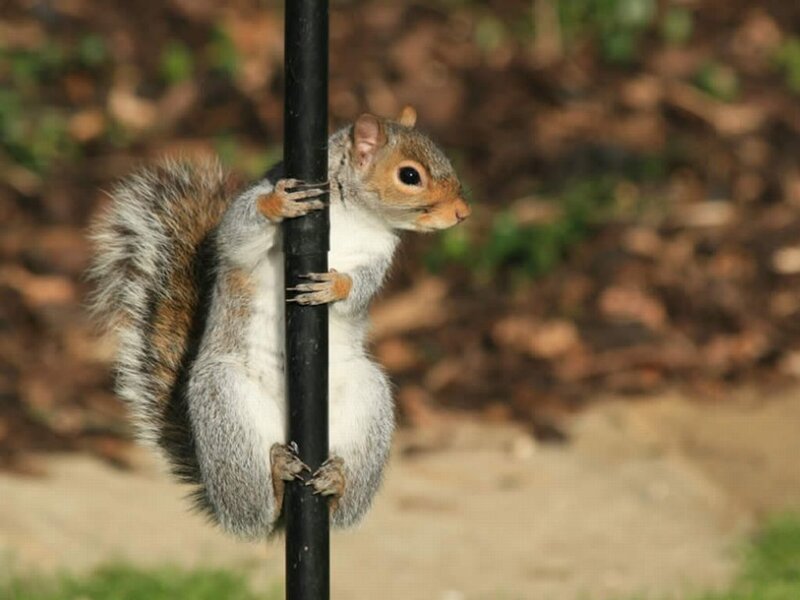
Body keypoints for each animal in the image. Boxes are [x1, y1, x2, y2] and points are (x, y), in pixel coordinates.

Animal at [88, 107, 470, 540]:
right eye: (410, 175)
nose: (463, 213)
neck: (357, 216)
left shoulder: (378, 256)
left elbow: (360, 290)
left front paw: (336, 286)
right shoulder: (248, 216)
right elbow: (237, 235)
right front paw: (279, 202)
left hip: (368, 401)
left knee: (340, 511)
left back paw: (336, 483)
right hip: (225, 405)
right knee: (257, 512)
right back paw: (273, 478)